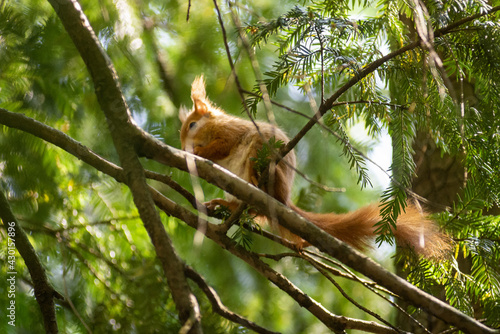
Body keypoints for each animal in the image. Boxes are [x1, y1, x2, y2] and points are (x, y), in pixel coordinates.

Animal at [179, 76, 450, 258]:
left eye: (192, 125)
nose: (183, 145)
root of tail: (283, 199)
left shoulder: (229, 134)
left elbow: (221, 147)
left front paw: (196, 153)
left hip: (260, 155)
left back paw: (257, 180)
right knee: (250, 210)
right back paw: (225, 205)